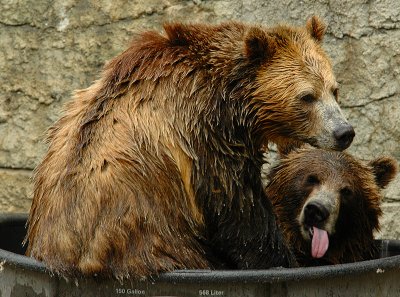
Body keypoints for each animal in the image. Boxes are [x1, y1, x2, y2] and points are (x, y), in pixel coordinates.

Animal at [26, 16, 354, 278]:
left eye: (334, 89)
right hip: (152, 233)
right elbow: (238, 208)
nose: (344, 132)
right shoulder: (204, 134)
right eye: (307, 96)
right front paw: (281, 259)